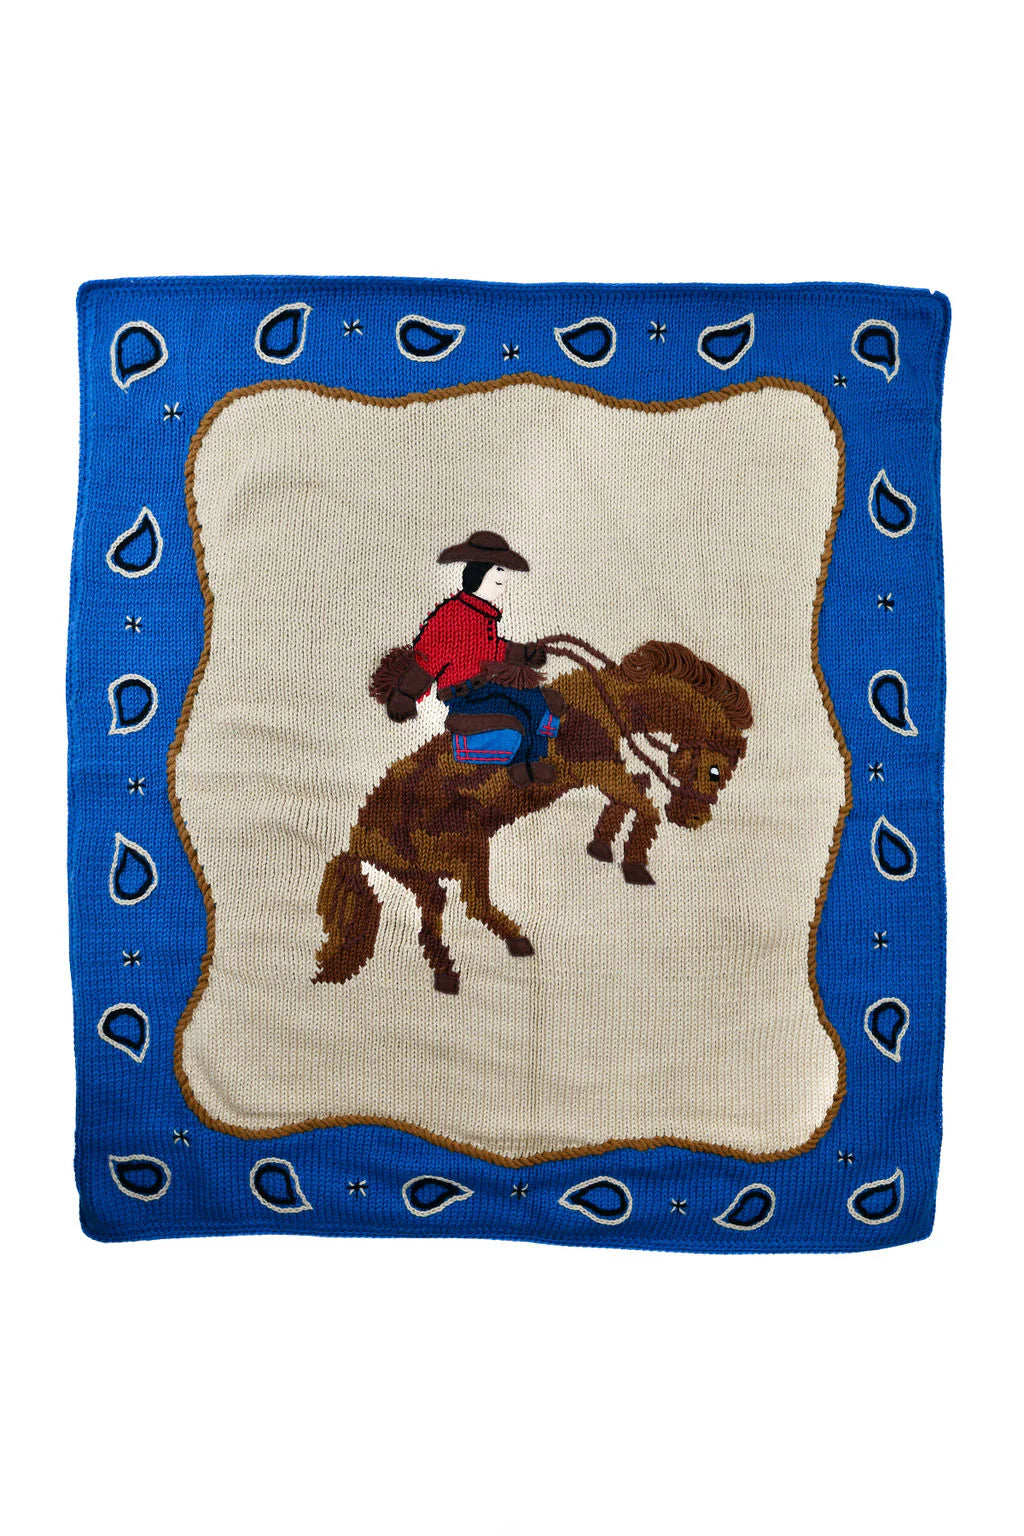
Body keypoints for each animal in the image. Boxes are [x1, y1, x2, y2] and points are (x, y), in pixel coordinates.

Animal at [314, 639, 752, 994]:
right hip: (467, 851)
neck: (604, 704)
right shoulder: (598, 768)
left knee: (434, 920)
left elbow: (636, 789)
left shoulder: (599, 772)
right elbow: (644, 804)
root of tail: (360, 834)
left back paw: (449, 974)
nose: (692, 817)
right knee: (474, 904)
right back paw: (515, 942)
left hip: (424, 876)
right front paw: (634, 863)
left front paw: (601, 844)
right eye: (716, 772)